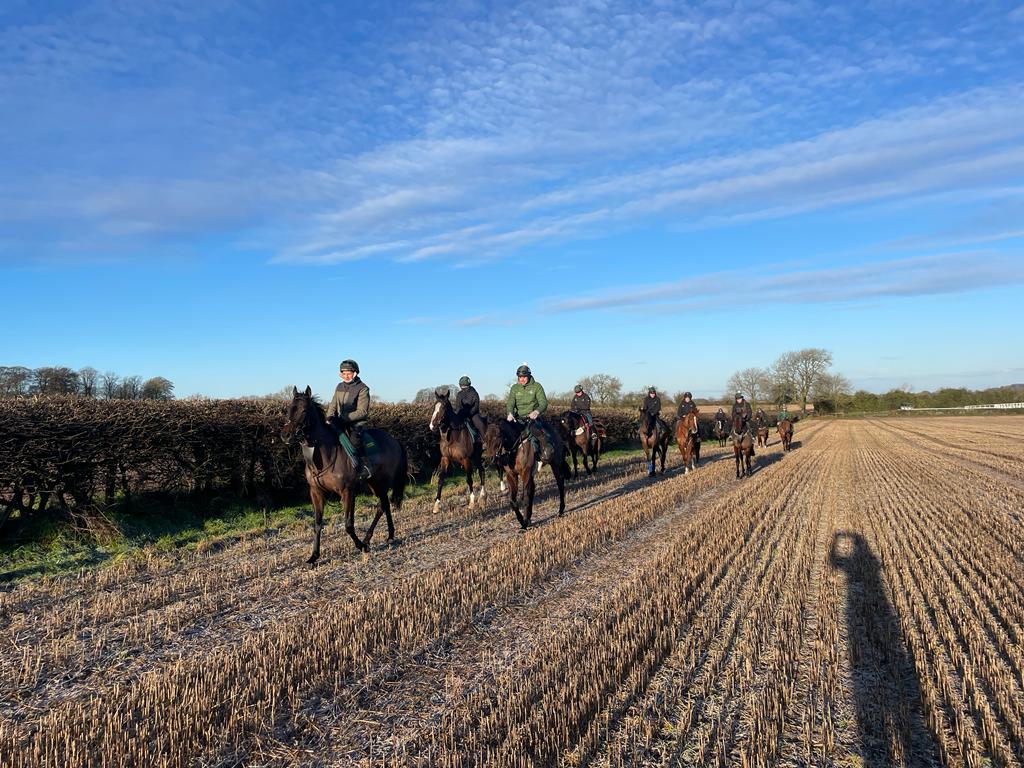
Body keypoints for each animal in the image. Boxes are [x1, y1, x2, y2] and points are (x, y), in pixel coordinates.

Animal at [282, 387, 409, 561]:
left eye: (304, 410)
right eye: (289, 409)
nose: (286, 435)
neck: (325, 455)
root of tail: (394, 440)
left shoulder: (347, 491)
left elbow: (348, 524)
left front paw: (361, 546)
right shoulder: (316, 492)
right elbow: (317, 524)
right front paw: (314, 556)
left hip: (382, 482)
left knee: (382, 506)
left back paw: (370, 539)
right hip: (373, 483)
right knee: (385, 505)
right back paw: (387, 536)